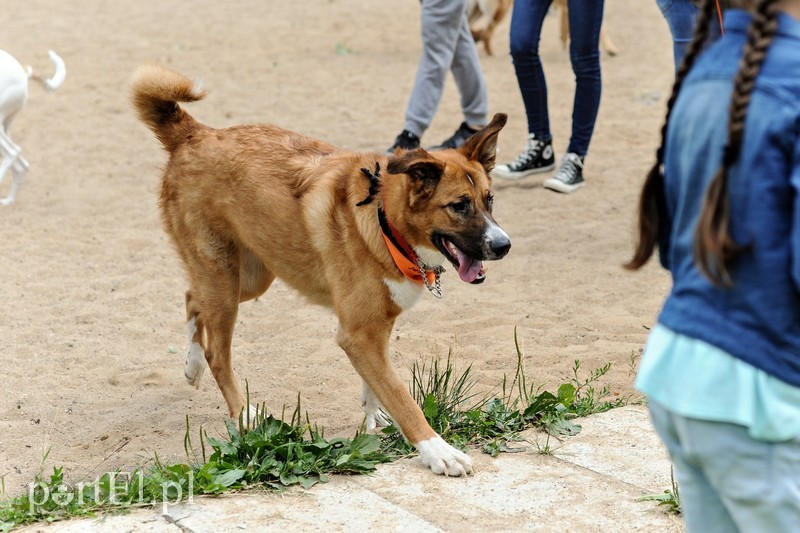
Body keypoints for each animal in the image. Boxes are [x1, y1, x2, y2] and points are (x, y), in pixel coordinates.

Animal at [129, 64, 510, 476]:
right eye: (459, 206)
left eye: (489, 200)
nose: (503, 246)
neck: (384, 220)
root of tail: (195, 133)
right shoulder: (358, 334)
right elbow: (400, 395)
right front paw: (437, 451)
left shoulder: (376, 326)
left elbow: (376, 383)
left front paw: (374, 417)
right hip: (224, 280)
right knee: (217, 350)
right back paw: (242, 413)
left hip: (249, 277)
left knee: (191, 299)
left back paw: (192, 365)